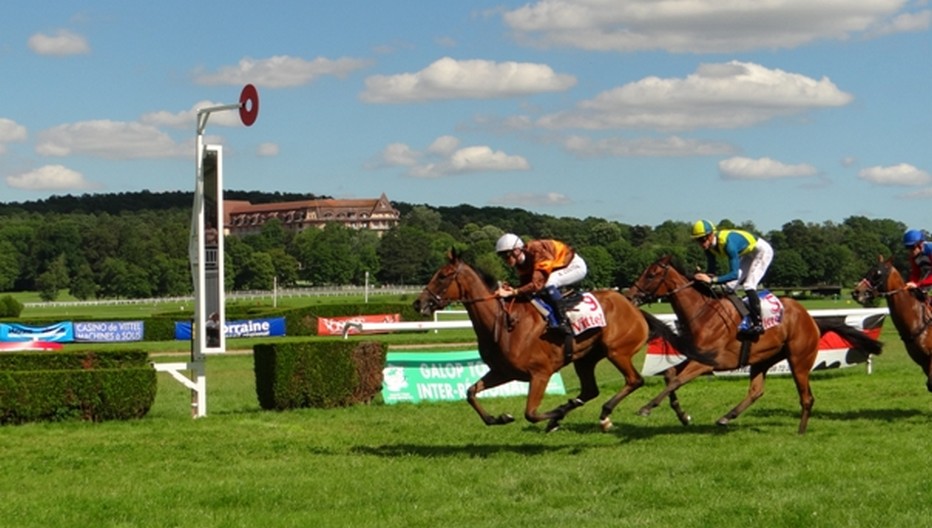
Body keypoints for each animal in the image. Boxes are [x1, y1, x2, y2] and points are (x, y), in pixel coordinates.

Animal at [412, 251, 672, 434]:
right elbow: (470, 392)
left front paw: (554, 417)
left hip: (617, 351)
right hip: (586, 357)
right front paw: (499, 418)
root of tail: (633, 306)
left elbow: (531, 413)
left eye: (442, 276)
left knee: (634, 380)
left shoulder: (540, 373)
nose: (418, 303)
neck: (503, 323)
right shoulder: (502, 371)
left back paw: (604, 416)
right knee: (590, 390)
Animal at [628, 255, 880, 434]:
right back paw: (726, 416)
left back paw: (800, 431)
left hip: (799, 360)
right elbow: (670, 375)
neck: (704, 313)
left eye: (651, 274)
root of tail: (810, 319)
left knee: (806, 398)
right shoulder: (696, 357)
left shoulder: (706, 363)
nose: (630, 295)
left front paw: (646, 407)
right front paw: (683, 415)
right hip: (763, 359)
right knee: (756, 390)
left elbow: (676, 380)